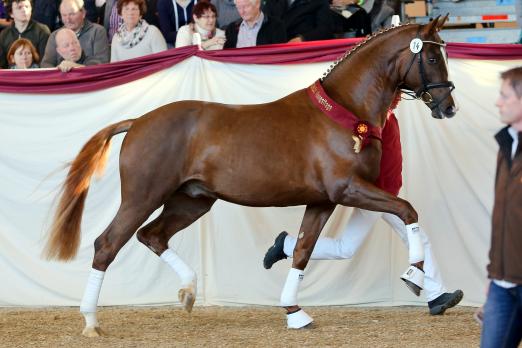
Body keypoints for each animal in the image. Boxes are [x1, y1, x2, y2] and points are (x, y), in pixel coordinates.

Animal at [44, 17, 456, 338]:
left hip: (191, 201)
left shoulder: (322, 200)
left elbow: (302, 251)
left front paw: (294, 312)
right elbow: (407, 210)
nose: (448, 107)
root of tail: (138, 121)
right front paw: (415, 274)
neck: (342, 113)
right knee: (107, 244)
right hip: (143, 197)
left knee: (153, 236)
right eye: (431, 56)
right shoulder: (348, 189)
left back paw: (189, 291)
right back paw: (91, 322)